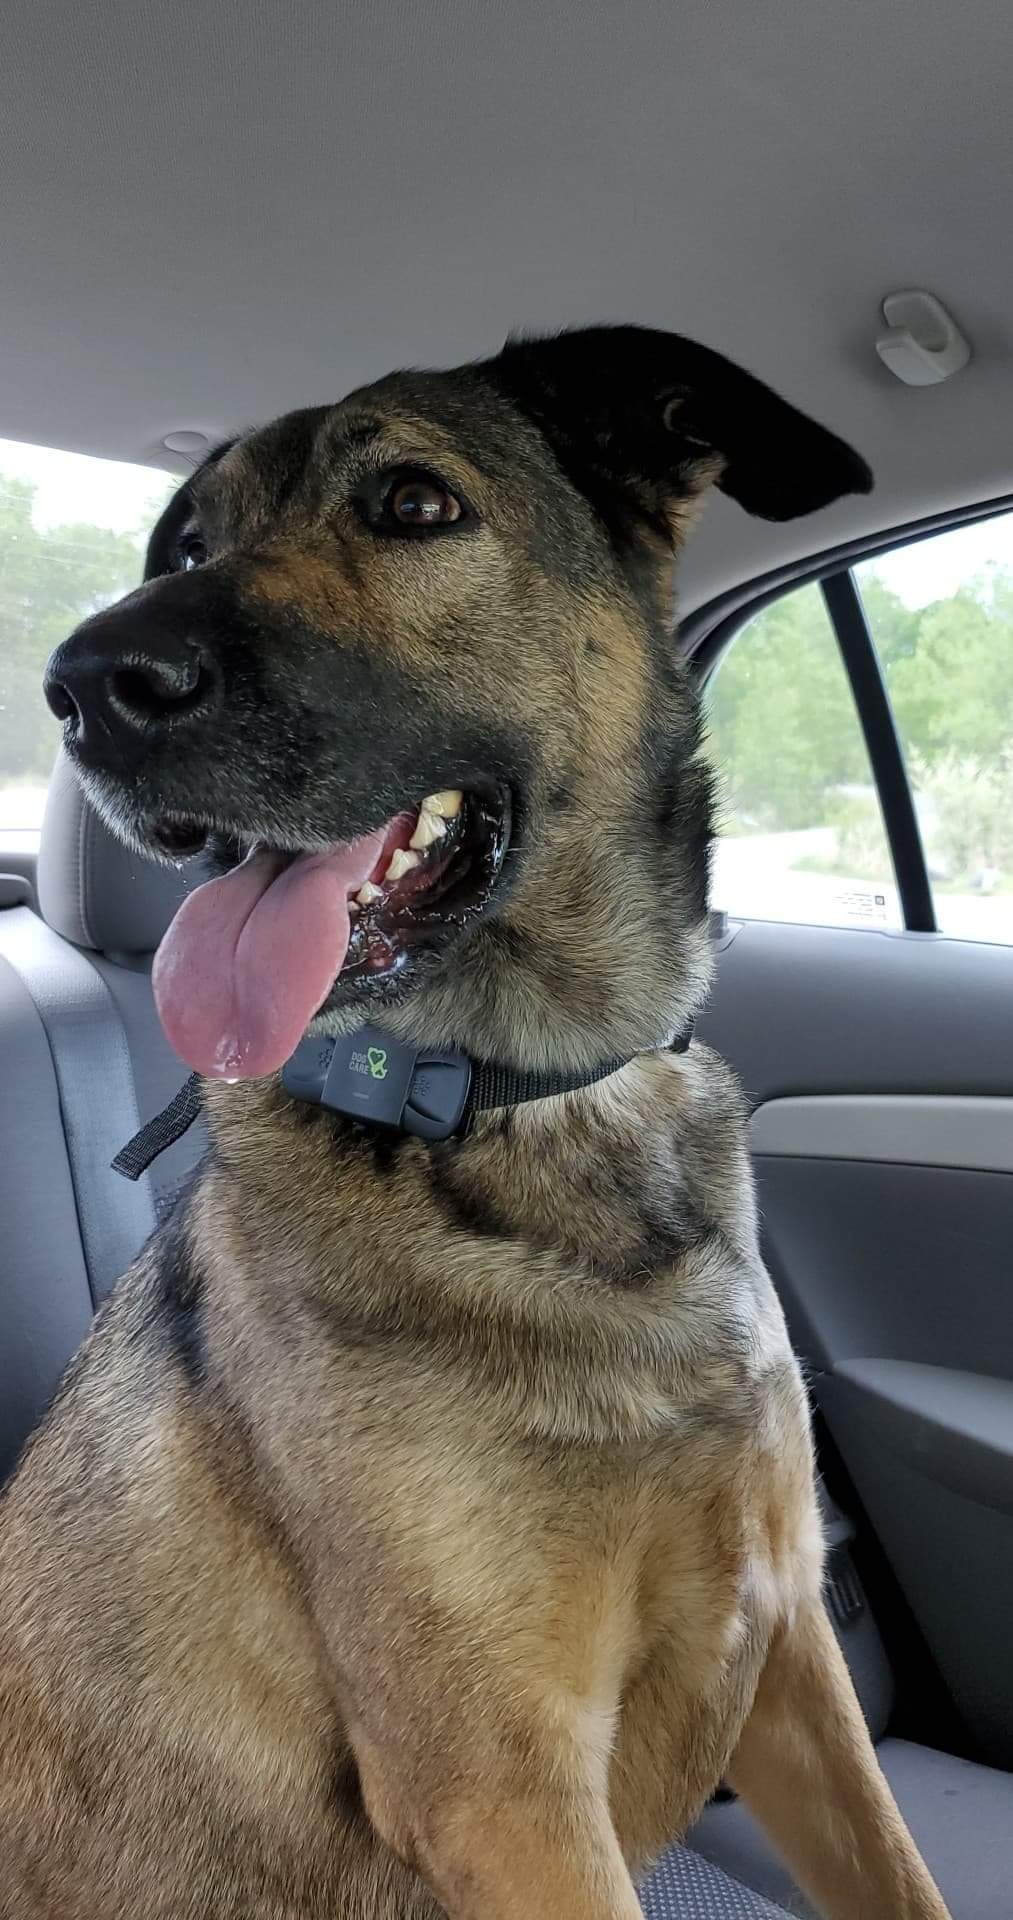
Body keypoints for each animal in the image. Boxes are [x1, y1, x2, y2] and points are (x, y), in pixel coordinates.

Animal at [0, 325, 949, 1919]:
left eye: (415, 505)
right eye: (187, 543)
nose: (82, 685)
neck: (518, 1109)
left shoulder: (791, 1656)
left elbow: (896, 1873)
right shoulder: (502, 1789)